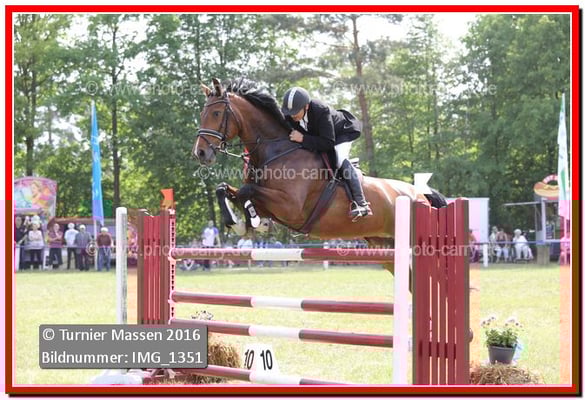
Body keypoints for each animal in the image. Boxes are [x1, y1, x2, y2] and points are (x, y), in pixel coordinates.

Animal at [192, 78, 447, 275]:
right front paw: (244, 223)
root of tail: (421, 194)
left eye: (216, 113)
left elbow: (247, 191)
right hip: (384, 247)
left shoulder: (290, 207)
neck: (276, 151)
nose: (200, 153)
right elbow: (225, 189)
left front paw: (251, 222)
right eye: (202, 113)